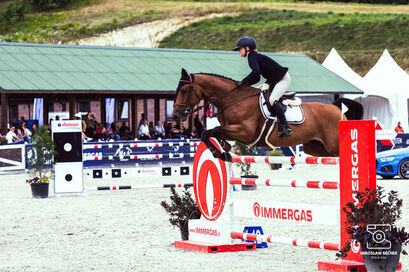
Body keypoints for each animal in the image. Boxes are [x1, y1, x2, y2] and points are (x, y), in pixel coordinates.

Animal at [171, 68, 360, 162]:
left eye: (185, 90)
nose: (175, 117)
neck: (233, 99)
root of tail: (337, 109)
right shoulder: (233, 130)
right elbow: (208, 133)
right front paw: (224, 150)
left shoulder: (244, 132)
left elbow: (213, 130)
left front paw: (222, 152)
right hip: (317, 148)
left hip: (333, 145)